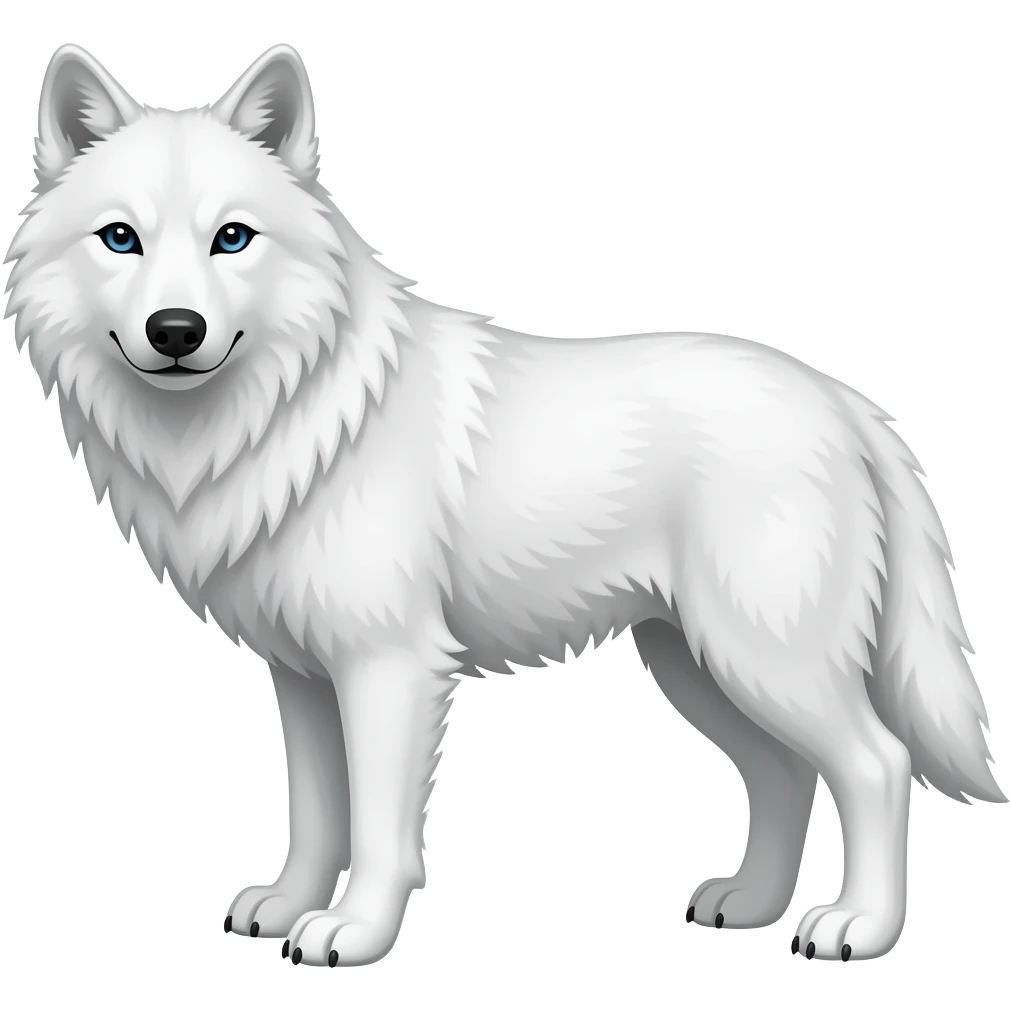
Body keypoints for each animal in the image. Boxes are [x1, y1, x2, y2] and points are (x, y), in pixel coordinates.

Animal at [4, 42, 1004, 968]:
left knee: (875, 763)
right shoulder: (303, 675)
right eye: (121, 239)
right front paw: (287, 911)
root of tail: (844, 399)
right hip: (698, 664)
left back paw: (858, 927)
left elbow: (378, 830)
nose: (177, 331)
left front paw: (355, 933)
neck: (295, 417)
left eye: (233, 238)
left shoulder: (390, 668)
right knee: (785, 774)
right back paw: (751, 905)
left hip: (762, 656)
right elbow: (318, 815)